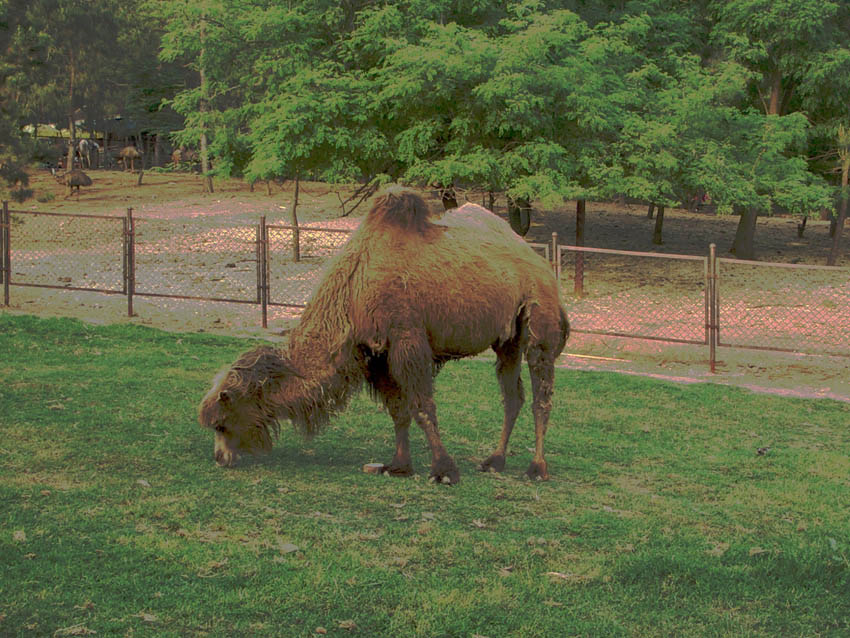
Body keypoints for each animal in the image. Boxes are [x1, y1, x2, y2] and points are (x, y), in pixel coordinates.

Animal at [200, 190, 568, 484]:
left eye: (221, 423)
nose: (220, 459)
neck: (354, 291)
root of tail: (541, 262)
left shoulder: (407, 339)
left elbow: (422, 406)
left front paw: (444, 470)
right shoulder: (376, 355)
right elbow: (398, 410)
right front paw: (399, 465)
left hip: (538, 315)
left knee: (541, 394)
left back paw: (537, 468)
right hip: (507, 338)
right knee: (512, 395)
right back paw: (495, 461)